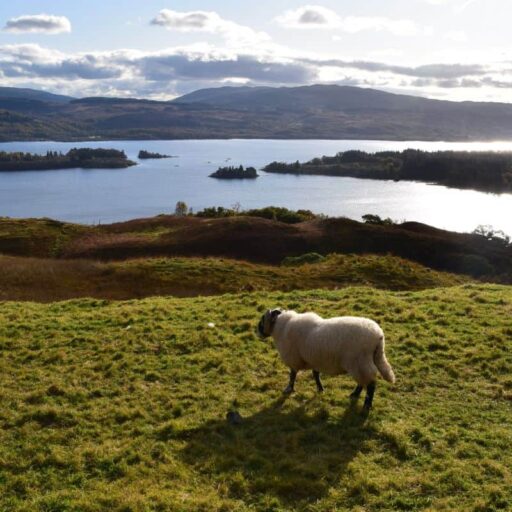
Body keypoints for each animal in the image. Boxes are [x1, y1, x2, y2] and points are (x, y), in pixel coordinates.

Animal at [256, 308, 396, 412]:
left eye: (263, 319)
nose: (257, 332)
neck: (282, 327)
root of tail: (379, 335)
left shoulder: (294, 359)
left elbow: (292, 376)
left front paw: (288, 390)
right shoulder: (314, 359)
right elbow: (315, 374)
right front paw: (320, 389)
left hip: (359, 361)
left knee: (370, 384)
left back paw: (366, 405)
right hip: (363, 362)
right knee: (363, 382)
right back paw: (354, 395)